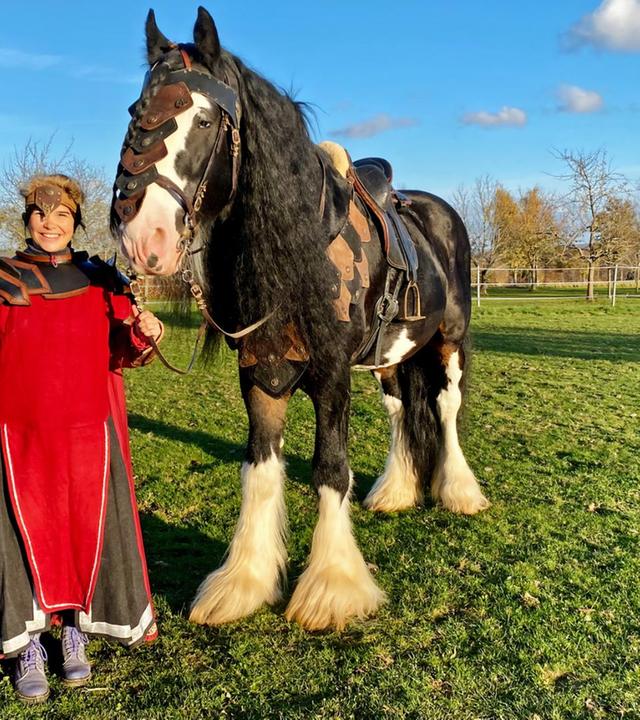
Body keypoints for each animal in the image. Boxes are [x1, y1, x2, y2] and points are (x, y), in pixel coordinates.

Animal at [111, 7, 489, 631]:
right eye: (135, 113)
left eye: (205, 119)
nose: (145, 237)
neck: (298, 248)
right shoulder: (260, 371)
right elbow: (261, 468)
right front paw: (243, 582)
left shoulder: (331, 374)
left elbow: (329, 468)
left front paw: (333, 586)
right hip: (390, 356)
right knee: (399, 410)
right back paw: (397, 489)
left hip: (450, 340)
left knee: (446, 405)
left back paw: (460, 491)